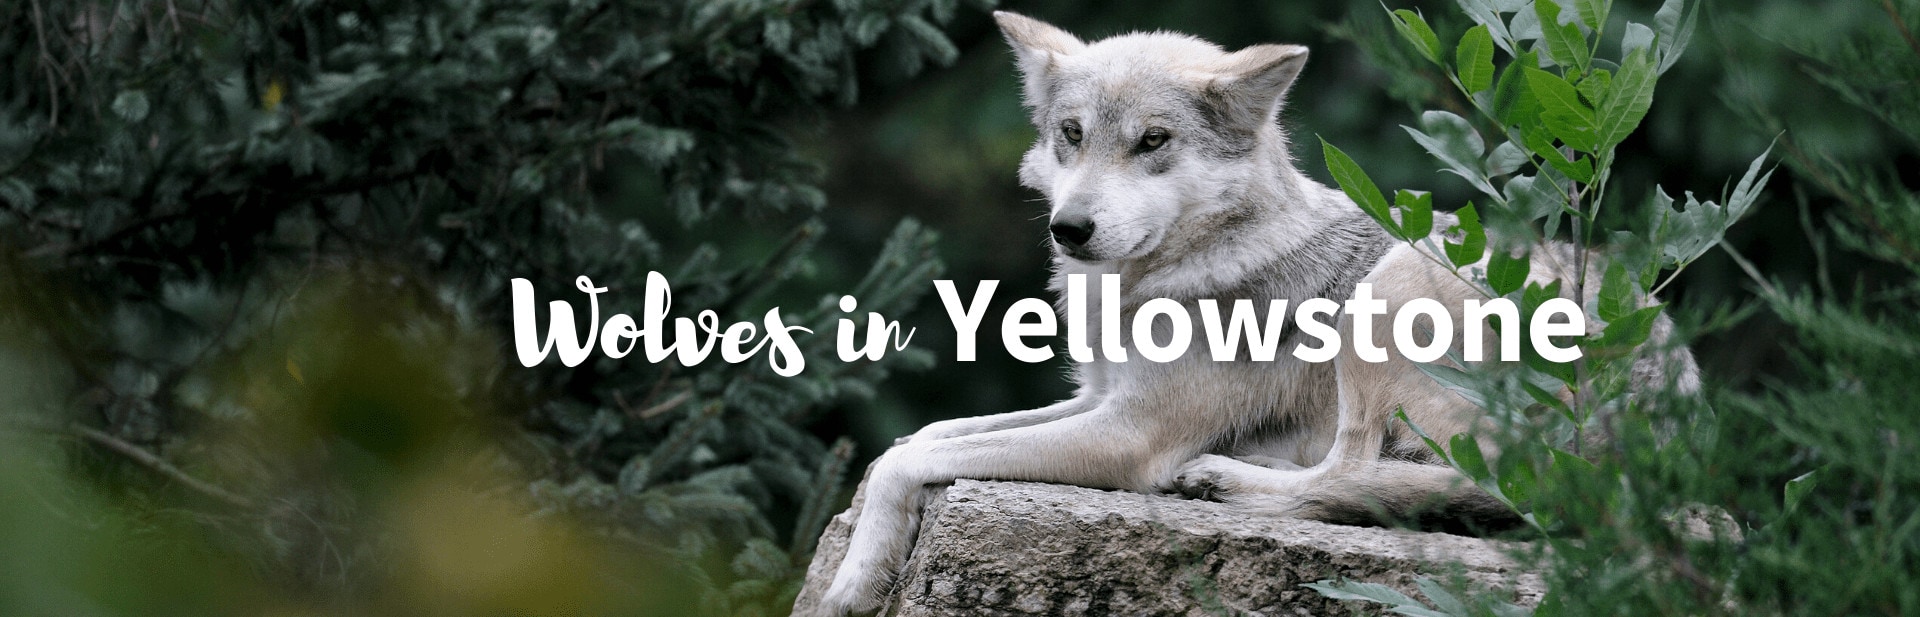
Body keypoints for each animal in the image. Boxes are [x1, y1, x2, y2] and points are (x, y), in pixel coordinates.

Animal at [811, 11, 1697, 615]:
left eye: (1153, 141)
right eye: (1071, 134)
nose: (1070, 229)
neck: (1167, 271)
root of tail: (1673, 425)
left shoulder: (1129, 433)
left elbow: (908, 459)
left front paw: (853, 581)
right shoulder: (1098, 397)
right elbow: (918, 439)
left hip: (1390, 289)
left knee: (1352, 472)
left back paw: (1223, 477)